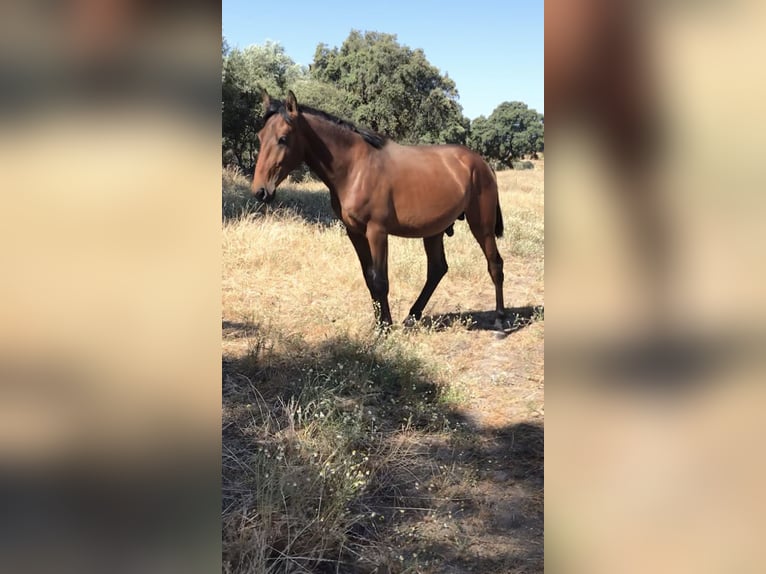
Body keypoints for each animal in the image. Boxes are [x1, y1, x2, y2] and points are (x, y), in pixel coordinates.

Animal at [250, 92, 510, 330]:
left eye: (283, 138)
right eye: (260, 136)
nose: (261, 191)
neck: (356, 168)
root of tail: (482, 163)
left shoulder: (377, 232)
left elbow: (381, 280)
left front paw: (384, 327)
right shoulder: (355, 232)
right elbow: (370, 278)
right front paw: (379, 324)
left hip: (482, 227)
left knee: (495, 264)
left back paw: (499, 320)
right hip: (434, 230)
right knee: (437, 270)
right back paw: (411, 317)